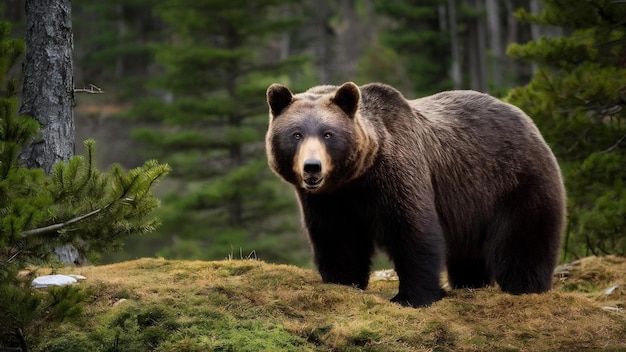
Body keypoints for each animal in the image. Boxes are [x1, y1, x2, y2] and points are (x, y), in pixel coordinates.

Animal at [264, 81, 564, 306]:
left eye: (328, 134)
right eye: (296, 134)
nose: (312, 167)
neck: (356, 178)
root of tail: (527, 120)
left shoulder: (395, 175)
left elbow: (412, 230)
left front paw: (412, 296)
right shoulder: (329, 200)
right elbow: (338, 237)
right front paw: (343, 282)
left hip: (515, 182)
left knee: (523, 239)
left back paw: (525, 286)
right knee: (469, 256)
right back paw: (470, 284)